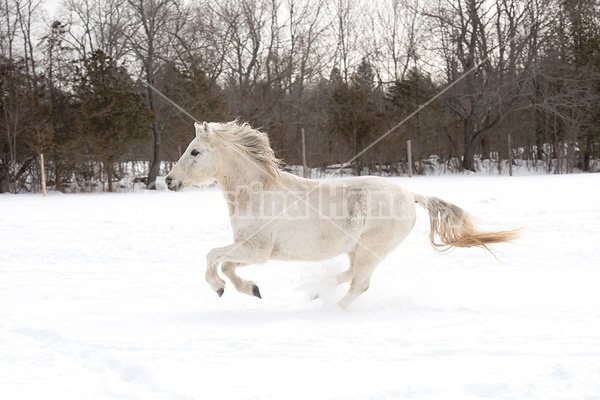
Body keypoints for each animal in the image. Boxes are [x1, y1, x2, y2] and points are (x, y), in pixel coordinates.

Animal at [165, 120, 520, 308]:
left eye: (195, 152)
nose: (169, 180)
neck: (259, 192)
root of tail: (411, 195)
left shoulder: (258, 250)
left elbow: (213, 257)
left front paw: (219, 287)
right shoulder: (249, 249)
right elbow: (225, 262)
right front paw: (250, 289)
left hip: (371, 249)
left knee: (359, 285)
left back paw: (330, 309)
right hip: (356, 249)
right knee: (351, 275)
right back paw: (314, 292)